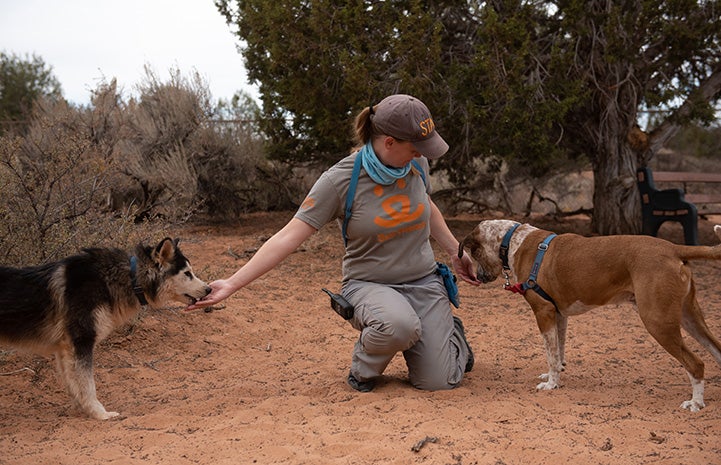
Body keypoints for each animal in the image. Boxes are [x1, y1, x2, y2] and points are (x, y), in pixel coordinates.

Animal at [1, 237, 211, 418]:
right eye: (187, 273)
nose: (209, 288)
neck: (129, 277)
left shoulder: (65, 349)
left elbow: (74, 384)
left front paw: (82, 410)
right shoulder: (81, 342)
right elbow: (88, 385)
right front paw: (100, 414)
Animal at [462, 220, 720, 410]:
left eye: (474, 253)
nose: (479, 277)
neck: (513, 240)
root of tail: (672, 247)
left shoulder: (543, 312)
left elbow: (551, 354)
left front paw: (551, 384)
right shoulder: (559, 315)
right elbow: (558, 352)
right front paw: (554, 376)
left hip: (658, 321)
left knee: (695, 363)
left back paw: (696, 403)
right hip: (690, 317)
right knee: (716, 350)